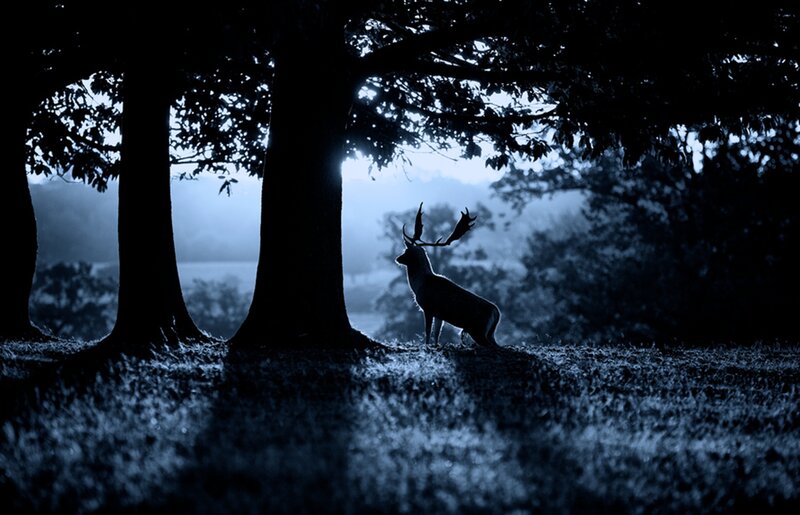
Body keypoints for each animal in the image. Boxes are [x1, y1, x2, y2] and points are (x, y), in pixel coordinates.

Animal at [395, 203, 501, 347]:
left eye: (406, 251)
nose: (397, 258)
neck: (419, 284)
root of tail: (497, 313)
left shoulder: (428, 307)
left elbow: (427, 332)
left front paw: (426, 346)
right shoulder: (439, 315)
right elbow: (437, 334)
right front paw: (435, 346)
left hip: (478, 330)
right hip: (490, 333)